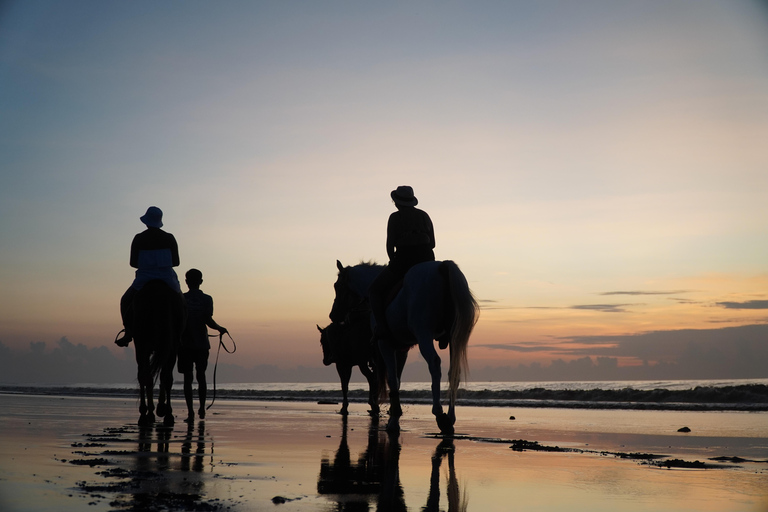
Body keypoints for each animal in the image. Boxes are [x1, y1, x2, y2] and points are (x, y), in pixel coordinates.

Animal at [132, 278, 184, 426]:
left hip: (143, 344)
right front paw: (160, 409)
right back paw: (164, 413)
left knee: (147, 376)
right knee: (164, 377)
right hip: (168, 346)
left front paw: (151, 410)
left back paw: (149, 413)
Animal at [332, 262, 480, 434]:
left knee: (434, 364)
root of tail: (442, 266)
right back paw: (450, 417)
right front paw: (394, 413)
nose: (333, 315)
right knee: (454, 373)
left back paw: (439, 414)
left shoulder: (385, 344)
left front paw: (394, 420)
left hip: (423, 334)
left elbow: (392, 379)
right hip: (452, 338)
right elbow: (398, 378)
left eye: (337, 286)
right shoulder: (402, 349)